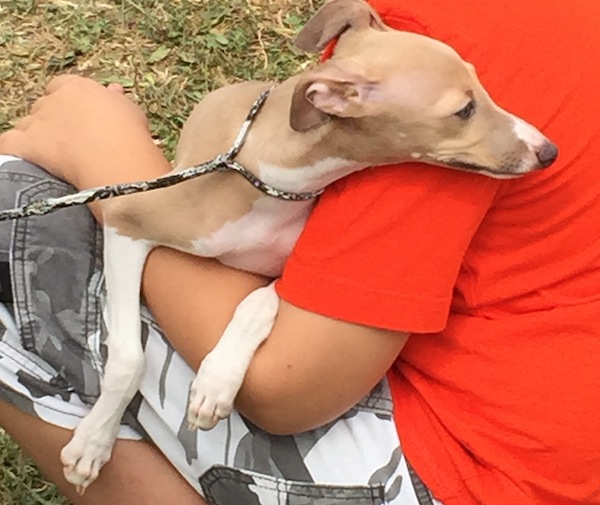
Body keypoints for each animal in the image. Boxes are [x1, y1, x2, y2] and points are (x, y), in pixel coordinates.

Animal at [57, 0, 556, 490]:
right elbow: (128, 356)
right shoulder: (128, 221)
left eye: (479, 84)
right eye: (463, 110)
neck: (271, 183)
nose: (548, 151)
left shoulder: (287, 270)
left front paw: (216, 381)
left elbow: (259, 301)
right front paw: (93, 443)